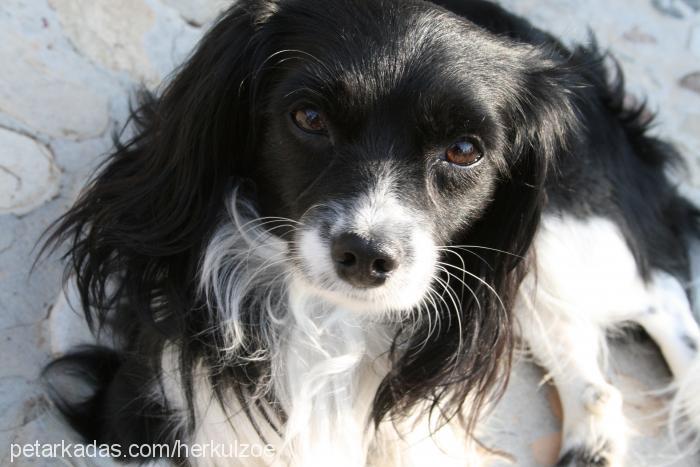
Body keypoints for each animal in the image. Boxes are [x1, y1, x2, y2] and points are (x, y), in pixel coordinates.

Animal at [42, 0, 700, 467]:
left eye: (465, 149)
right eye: (308, 117)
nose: (365, 256)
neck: (332, 320)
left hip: (561, 223)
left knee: (661, 293)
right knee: (597, 372)